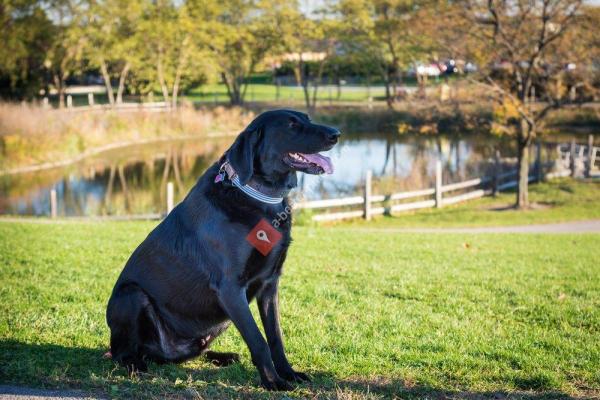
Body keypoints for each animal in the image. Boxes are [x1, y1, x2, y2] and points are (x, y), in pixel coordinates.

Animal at [106, 109, 340, 390]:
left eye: (307, 118)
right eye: (292, 125)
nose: (336, 134)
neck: (259, 195)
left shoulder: (270, 284)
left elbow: (276, 337)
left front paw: (289, 373)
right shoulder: (230, 288)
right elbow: (259, 340)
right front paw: (273, 381)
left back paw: (223, 356)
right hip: (131, 296)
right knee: (124, 353)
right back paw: (135, 365)